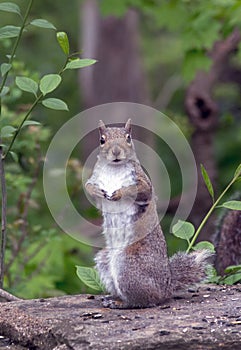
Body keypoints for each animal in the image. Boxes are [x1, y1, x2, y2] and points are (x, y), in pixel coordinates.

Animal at [85, 119, 211, 308]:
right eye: (102, 140)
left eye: (128, 138)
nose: (116, 152)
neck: (114, 168)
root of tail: (166, 288)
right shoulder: (95, 179)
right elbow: (88, 188)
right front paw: (97, 192)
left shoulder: (142, 182)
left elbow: (142, 191)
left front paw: (119, 193)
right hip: (105, 260)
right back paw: (113, 298)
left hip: (128, 266)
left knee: (144, 300)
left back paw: (123, 303)